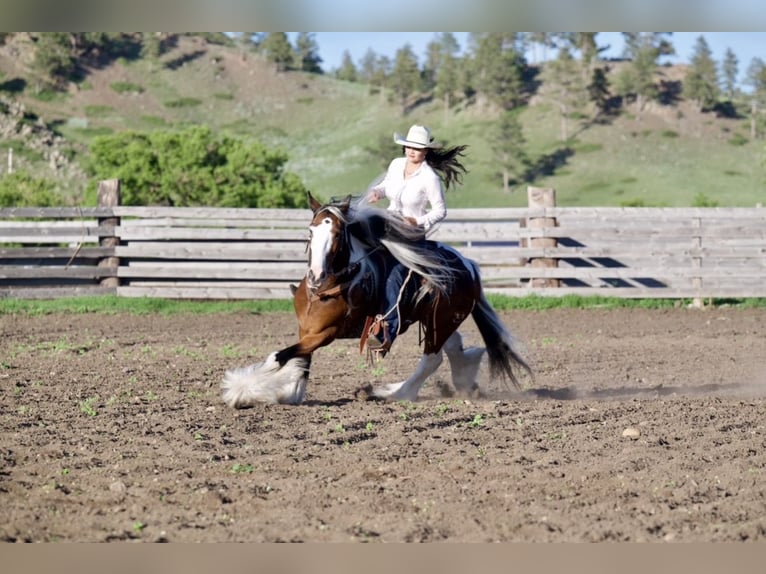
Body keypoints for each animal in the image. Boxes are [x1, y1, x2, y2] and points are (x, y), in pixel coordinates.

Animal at [221, 192, 531, 407]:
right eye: (311, 231)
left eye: (337, 233)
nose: (316, 275)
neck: (327, 289)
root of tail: (467, 265)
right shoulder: (307, 330)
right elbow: (299, 364)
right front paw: (286, 393)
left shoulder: (327, 333)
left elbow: (278, 357)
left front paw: (240, 391)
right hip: (441, 321)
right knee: (454, 349)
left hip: (438, 322)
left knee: (432, 359)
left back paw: (393, 394)